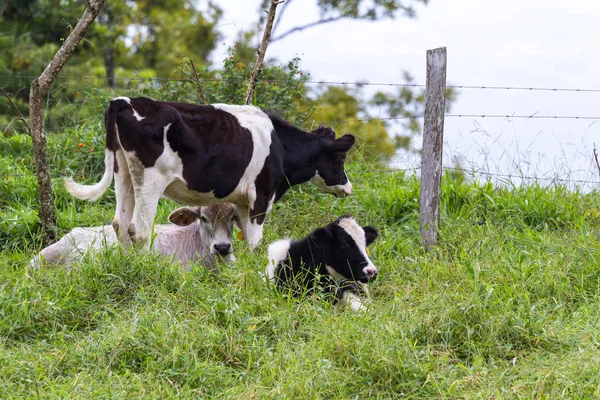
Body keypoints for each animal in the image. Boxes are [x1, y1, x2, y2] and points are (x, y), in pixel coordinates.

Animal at [63, 96, 354, 250]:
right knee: (140, 228)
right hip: (149, 179)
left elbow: (246, 238)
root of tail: (125, 101)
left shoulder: (243, 201)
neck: (279, 144)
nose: (348, 188)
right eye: (340, 157)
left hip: (122, 170)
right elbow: (256, 240)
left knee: (119, 223)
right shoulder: (261, 195)